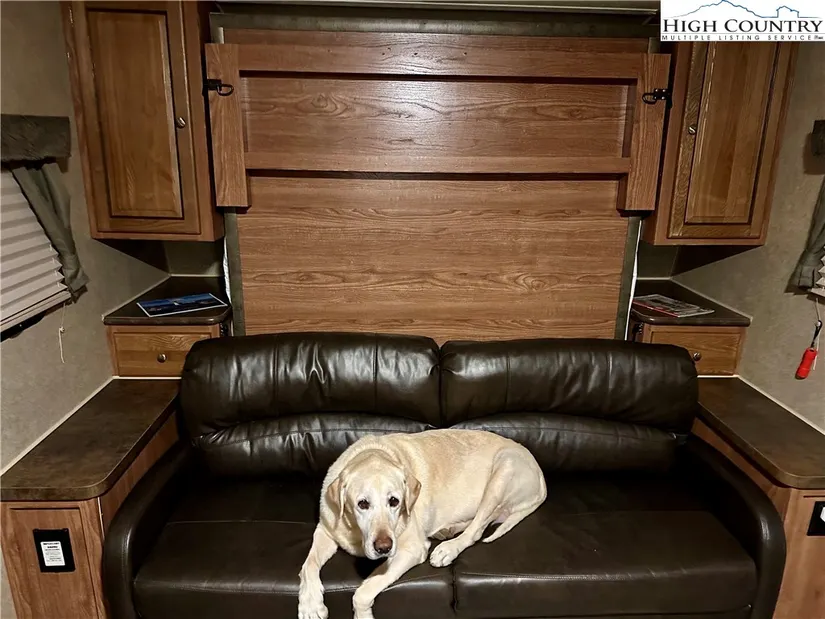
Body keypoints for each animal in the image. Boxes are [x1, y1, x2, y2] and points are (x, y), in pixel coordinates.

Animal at [298, 429, 547, 619]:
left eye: (394, 501)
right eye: (362, 504)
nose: (384, 547)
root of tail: (541, 478)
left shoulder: (410, 550)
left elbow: (362, 592)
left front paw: (362, 614)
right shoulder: (325, 529)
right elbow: (308, 564)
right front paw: (310, 604)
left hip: (503, 470)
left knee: (477, 529)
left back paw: (448, 548)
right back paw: (447, 530)